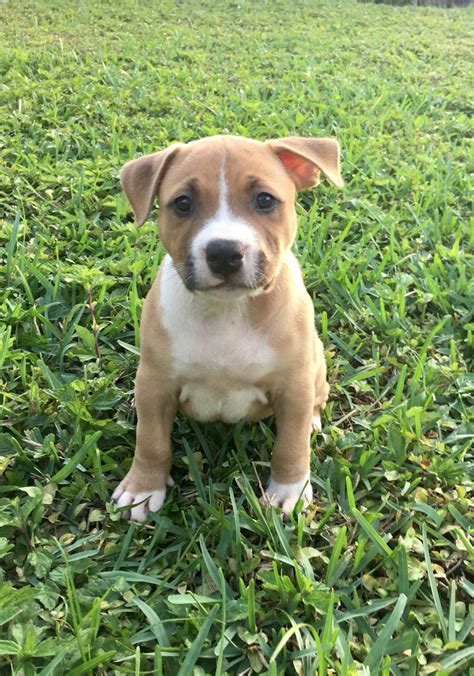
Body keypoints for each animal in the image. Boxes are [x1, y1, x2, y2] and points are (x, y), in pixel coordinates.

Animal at [113, 135, 342, 520]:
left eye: (264, 200)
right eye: (183, 203)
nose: (223, 252)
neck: (227, 311)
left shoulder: (294, 383)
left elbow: (291, 443)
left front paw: (289, 490)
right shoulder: (156, 382)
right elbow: (151, 440)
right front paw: (143, 488)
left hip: (317, 363)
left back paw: (312, 420)